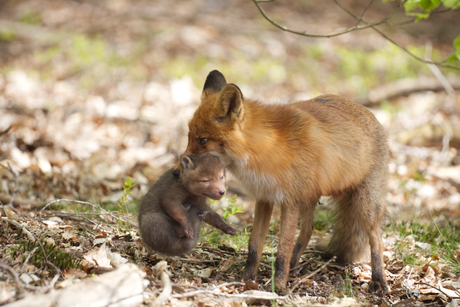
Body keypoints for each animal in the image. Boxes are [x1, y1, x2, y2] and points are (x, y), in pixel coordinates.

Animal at [180, 70, 388, 294]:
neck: (265, 152)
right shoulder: (264, 199)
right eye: (189, 136)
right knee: (307, 232)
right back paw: (294, 267)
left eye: (203, 140)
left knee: (376, 239)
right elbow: (254, 246)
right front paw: (247, 280)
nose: (180, 166)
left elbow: (283, 249)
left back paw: (378, 280)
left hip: (365, 206)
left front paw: (278, 287)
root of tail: (370, 114)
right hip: (309, 199)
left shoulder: (290, 201)